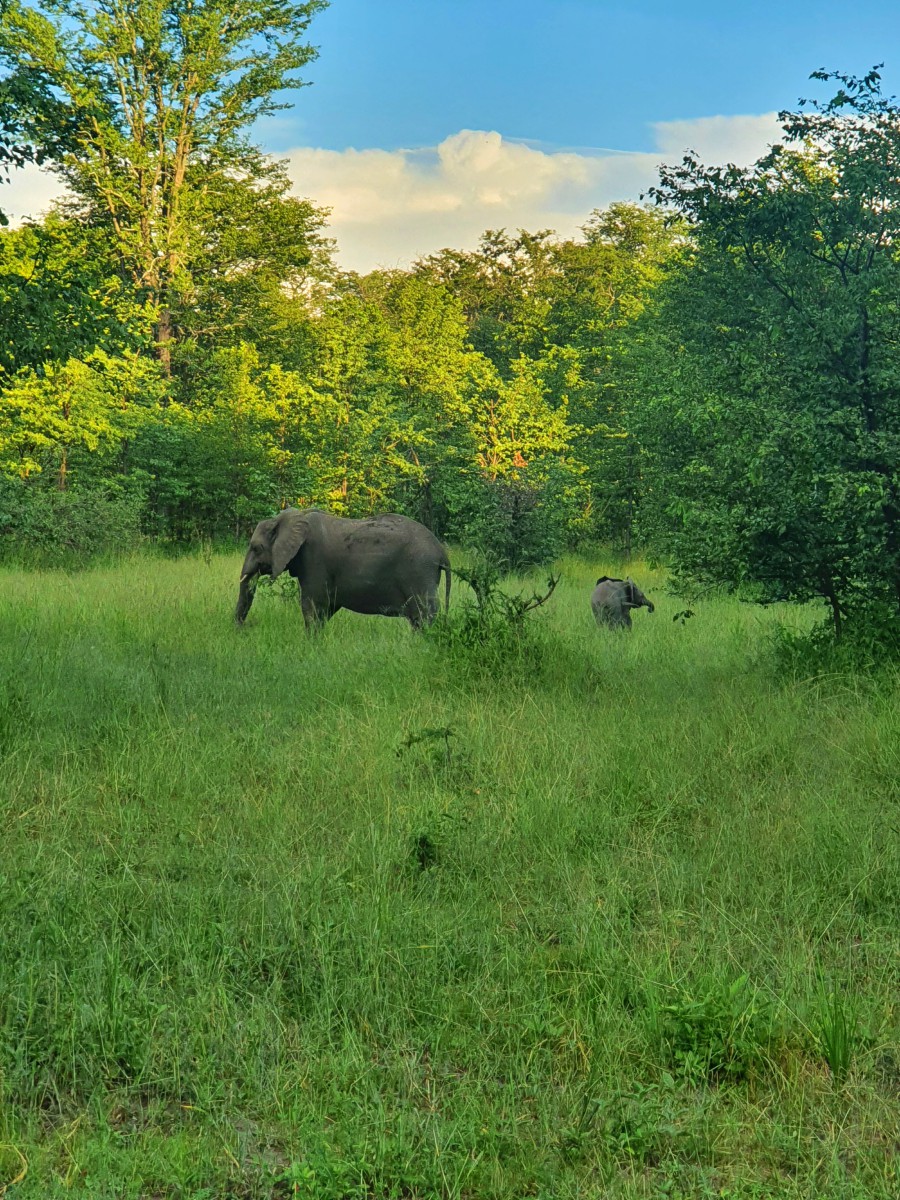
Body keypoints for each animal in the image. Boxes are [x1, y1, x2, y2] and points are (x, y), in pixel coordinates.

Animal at [234, 508, 451, 633]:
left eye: (256, 548)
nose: (244, 628)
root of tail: (441, 551)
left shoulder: (314, 559)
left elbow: (311, 604)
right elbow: (327, 606)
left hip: (420, 571)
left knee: (424, 615)